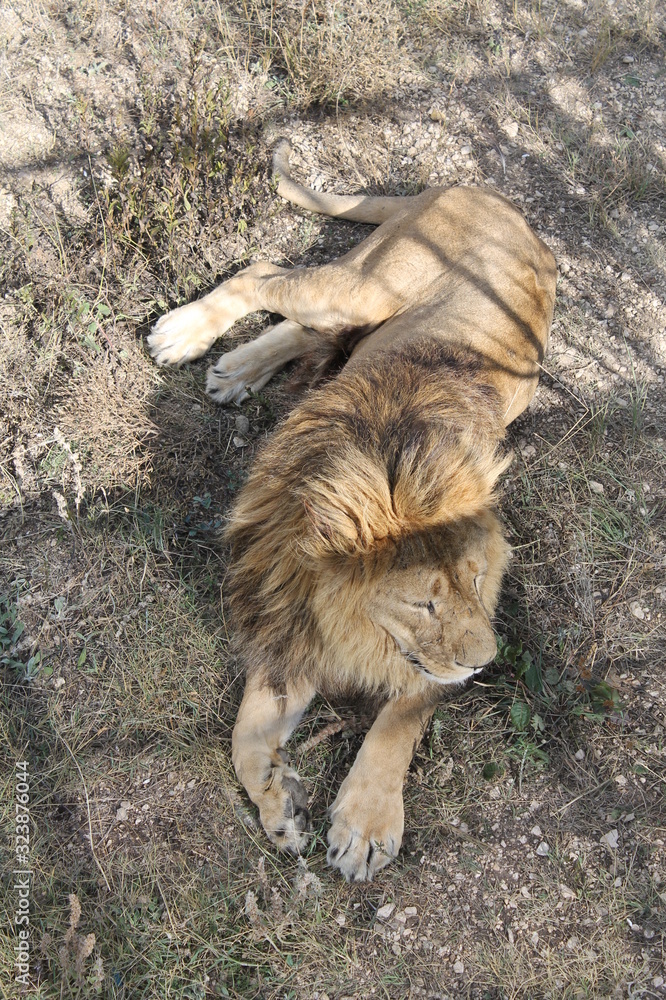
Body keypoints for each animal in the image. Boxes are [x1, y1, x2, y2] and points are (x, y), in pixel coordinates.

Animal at [147, 140, 557, 881]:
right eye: (422, 602)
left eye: (479, 581)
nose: (486, 663)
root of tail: (496, 200)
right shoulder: (292, 618)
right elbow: (243, 735)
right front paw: (281, 800)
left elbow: (399, 717)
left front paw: (360, 821)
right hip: (373, 285)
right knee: (266, 272)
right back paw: (186, 335)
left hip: (371, 306)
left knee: (302, 322)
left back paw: (235, 369)